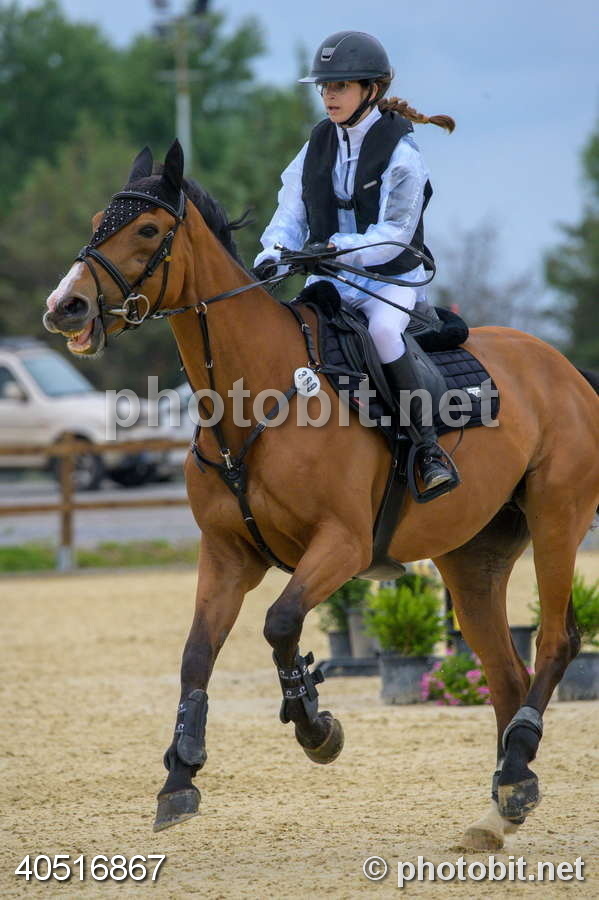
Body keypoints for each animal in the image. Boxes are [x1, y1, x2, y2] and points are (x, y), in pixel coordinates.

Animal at [43, 140, 599, 848]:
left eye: (146, 229)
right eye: (97, 220)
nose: (65, 307)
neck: (252, 402)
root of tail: (566, 371)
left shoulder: (343, 547)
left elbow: (280, 624)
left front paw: (315, 726)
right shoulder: (227, 555)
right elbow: (196, 655)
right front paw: (180, 776)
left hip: (557, 520)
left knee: (556, 642)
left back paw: (518, 762)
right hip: (473, 559)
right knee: (507, 673)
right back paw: (505, 798)